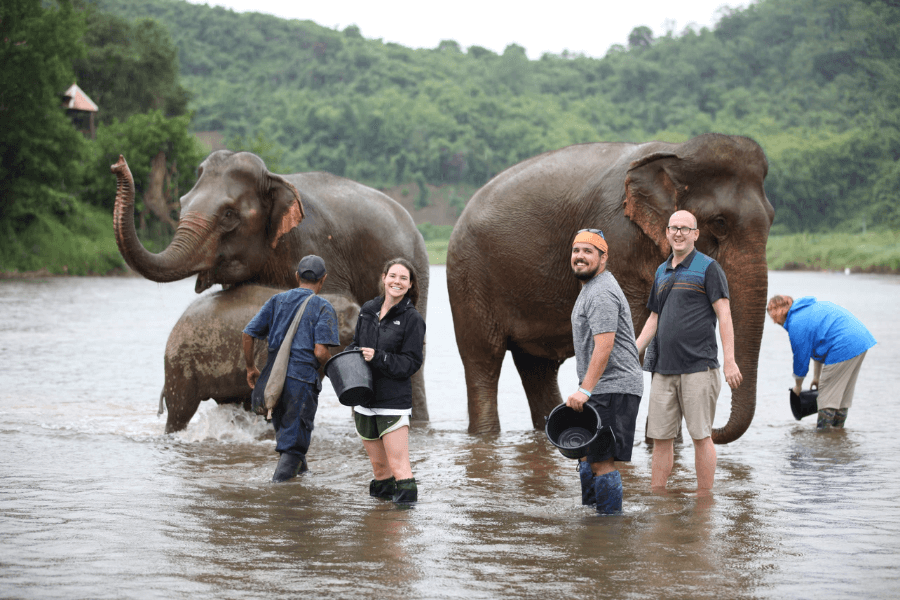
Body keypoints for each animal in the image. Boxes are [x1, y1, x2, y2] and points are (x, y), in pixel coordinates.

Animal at [446, 132, 776, 440]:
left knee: (537, 367)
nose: (715, 430)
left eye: (772, 219)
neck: (676, 152)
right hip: (468, 276)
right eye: (720, 223)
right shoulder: (619, 237)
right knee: (483, 358)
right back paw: (486, 433)